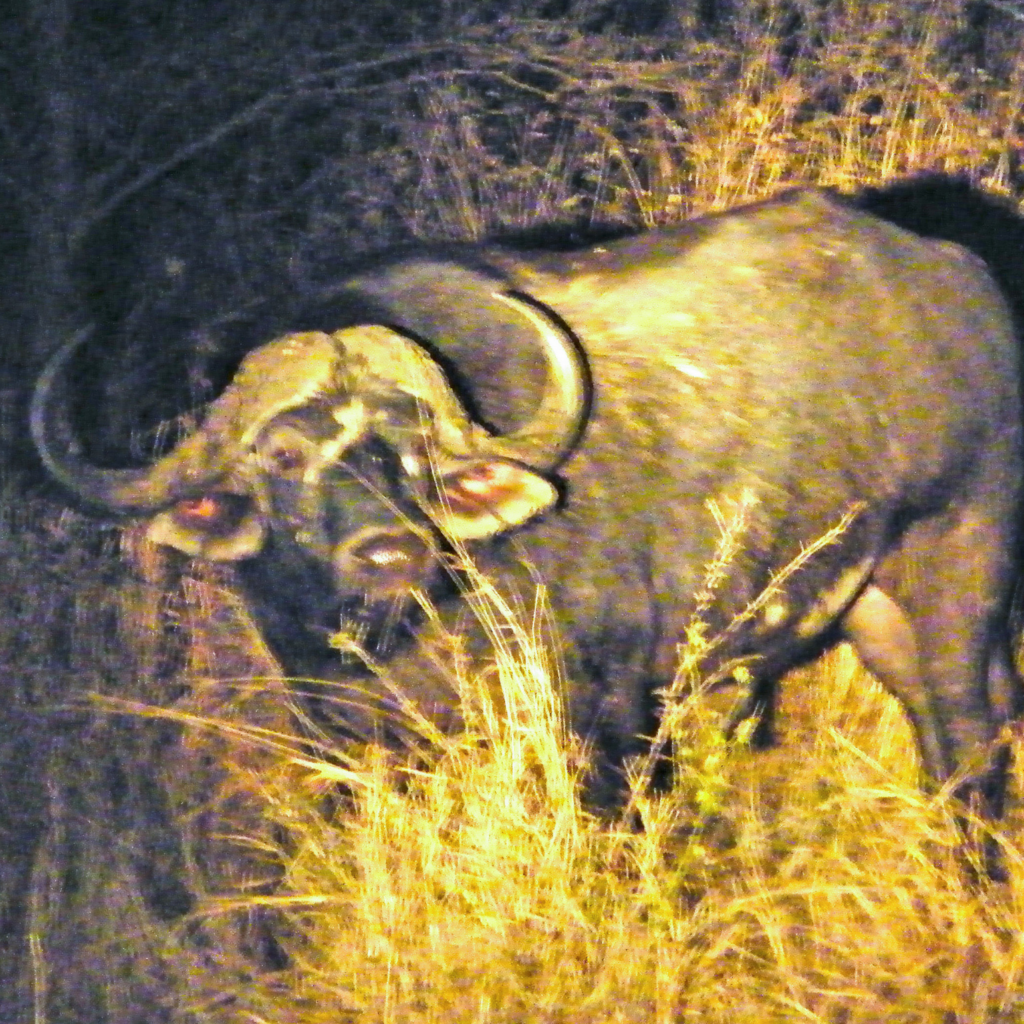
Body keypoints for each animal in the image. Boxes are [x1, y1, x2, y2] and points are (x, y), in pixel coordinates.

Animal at [32, 188, 1024, 815]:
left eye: (415, 446)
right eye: (281, 453)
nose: (391, 552)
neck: (404, 635)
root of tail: (963, 275)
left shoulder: (600, 713)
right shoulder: (346, 735)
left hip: (960, 572)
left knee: (969, 739)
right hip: (873, 608)